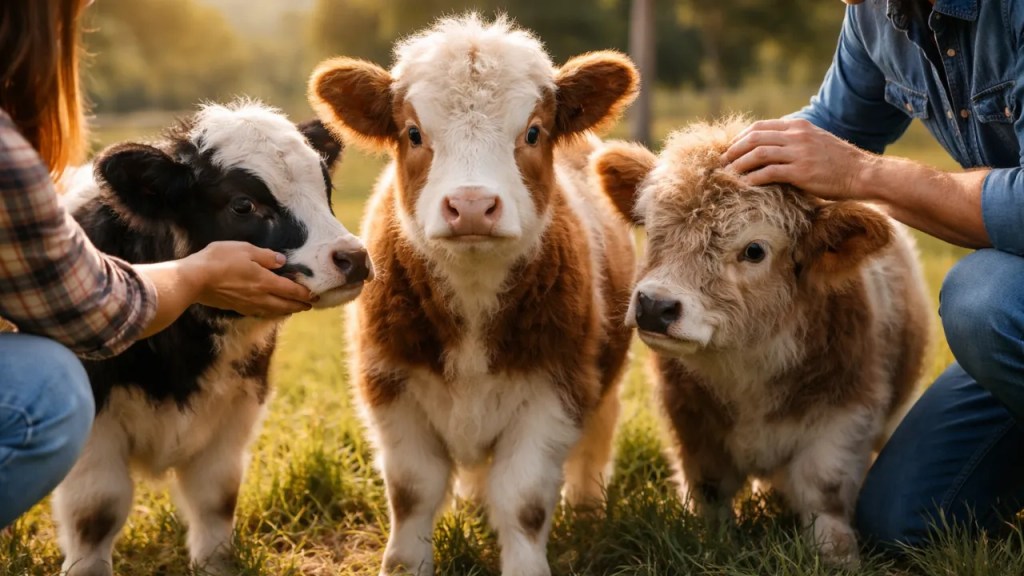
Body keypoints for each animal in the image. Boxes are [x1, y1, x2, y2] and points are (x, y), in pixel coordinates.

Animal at [308, 13, 638, 576]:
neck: (473, 296)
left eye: (533, 131)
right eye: (414, 133)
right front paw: (406, 564)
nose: (471, 206)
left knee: (596, 436)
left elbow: (524, 501)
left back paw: (588, 507)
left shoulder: (556, 387)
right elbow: (412, 490)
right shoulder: (389, 384)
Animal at [592, 118, 933, 566]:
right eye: (651, 228)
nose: (654, 306)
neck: (747, 367)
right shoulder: (692, 421)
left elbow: (823, 493)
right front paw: (714, 543)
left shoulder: (845, 415)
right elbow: (710, 490)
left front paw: (838, 558)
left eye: (754, 250)